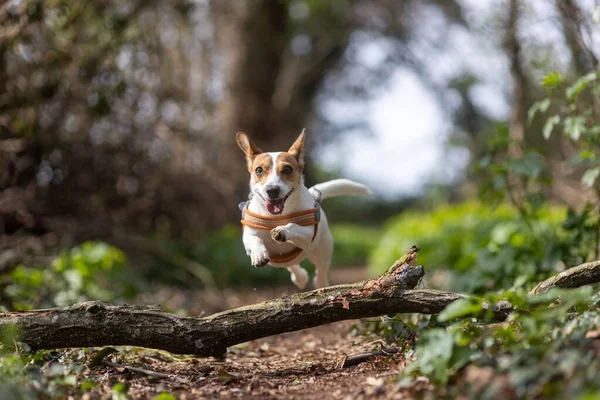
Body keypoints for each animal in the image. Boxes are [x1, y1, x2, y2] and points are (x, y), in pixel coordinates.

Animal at [236, 130, 370, 290]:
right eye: (259, 170)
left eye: (287, 169)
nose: (272, 190)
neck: (277, 217)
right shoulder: (247, 236)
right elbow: (254, 239)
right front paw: (259, 254)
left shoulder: (307, 234)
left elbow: (294, 226)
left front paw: (283, 230)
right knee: (292, 265)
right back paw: (300, 278)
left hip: (322, 251)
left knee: (321, 272)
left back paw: (320, 284)